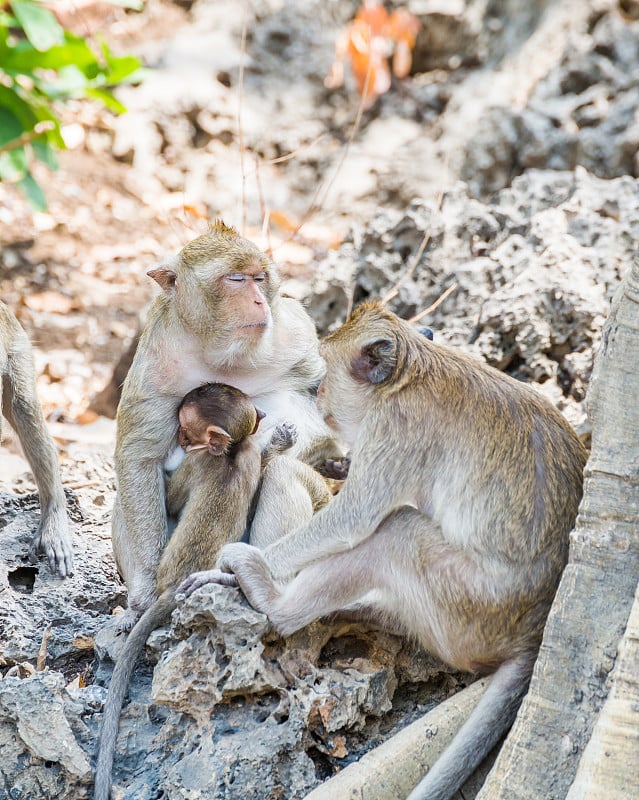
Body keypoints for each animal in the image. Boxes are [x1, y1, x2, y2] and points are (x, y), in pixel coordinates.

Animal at [94, 382, 292, 800]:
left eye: (186, 430)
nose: (181, 440)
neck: (230, 450)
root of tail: (171, 589)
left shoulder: (197, 462)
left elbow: (169, 497)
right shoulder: (247, 453)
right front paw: (277, 442)